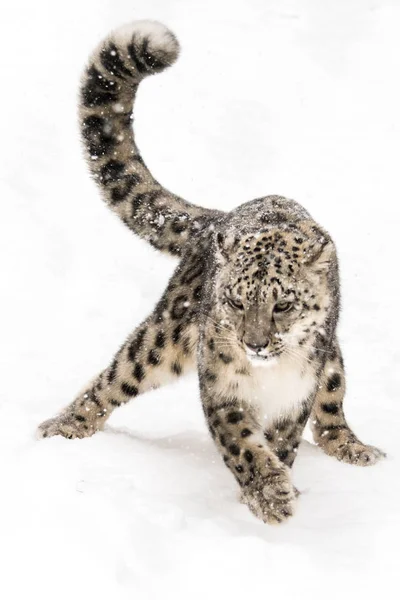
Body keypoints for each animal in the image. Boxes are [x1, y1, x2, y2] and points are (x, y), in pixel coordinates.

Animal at [38, 21, 384, 524]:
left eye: (284, 304)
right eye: (237, 301)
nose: (254, 344)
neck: (269, 375)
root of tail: (216, 219)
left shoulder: (295, 397)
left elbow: (284, 440)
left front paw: (272, 489)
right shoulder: (222, 388)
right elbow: (242, 443)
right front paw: (270, 494)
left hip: (331, 363)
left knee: (331, 413)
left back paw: (357, 449)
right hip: (162, 337)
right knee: (115, 376)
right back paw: (62, 427)